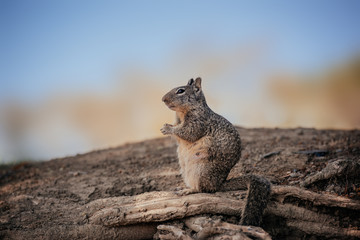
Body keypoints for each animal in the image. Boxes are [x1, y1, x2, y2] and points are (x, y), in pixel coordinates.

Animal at [160, 78, 270, 226]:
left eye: (180, 91)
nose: (163, 99)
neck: (183, 112)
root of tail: (219, 184)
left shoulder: (199, 121)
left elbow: (189, 132)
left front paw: (168, 128)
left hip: (201, 171)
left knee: (203, 189)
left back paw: (188, 190)